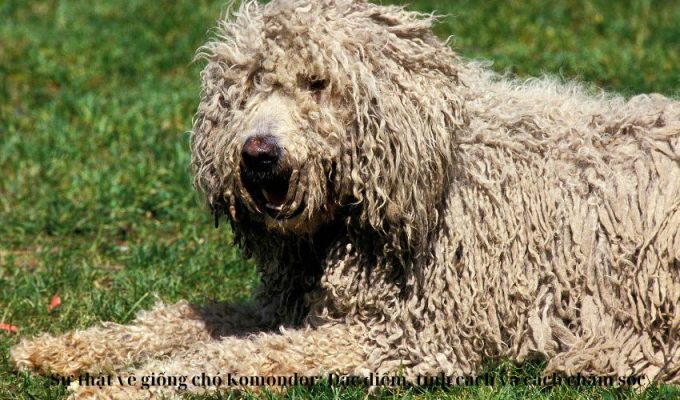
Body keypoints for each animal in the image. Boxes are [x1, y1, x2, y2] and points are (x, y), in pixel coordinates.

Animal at [10, 0, 680, 398]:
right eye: (250, 83)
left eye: (318, 83)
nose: (258, 153)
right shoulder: (281, 305)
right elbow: (176, 320)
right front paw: (66, 348)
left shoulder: (401, 338)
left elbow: (241, 356)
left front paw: (118, 386)